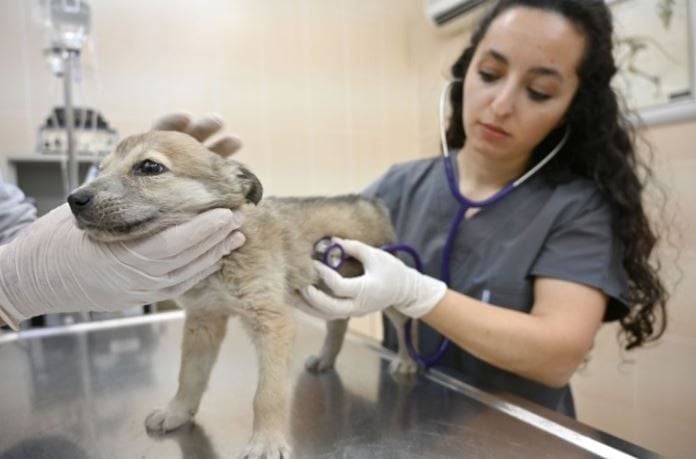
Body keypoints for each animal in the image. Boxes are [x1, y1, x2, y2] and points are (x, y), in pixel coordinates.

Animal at [66, 131, 418, 458]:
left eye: (150, 166)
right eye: (101, 168)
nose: (73, 199)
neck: (222, 259)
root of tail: (369, 202)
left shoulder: (273, 322)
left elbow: (267, 394)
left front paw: (267, 442)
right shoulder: (203, 320)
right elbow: (189, 375)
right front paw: (177, 412)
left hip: (381, 288)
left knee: (404, 323)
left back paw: (406, 361)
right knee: (338, 322)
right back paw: (326, 358)